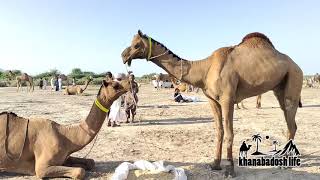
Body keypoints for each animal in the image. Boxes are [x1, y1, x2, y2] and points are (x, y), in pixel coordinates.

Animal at [0, 79, 130, 179]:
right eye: (115, 85)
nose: (129, 81)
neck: (65, 135)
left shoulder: (64, 157)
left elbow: (91, 162)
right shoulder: (42, 168)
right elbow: (80, 171)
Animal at [122, 30, 302, 176]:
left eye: (136, 45)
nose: (123, 55)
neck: (204, 69)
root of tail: (297, 66)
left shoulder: (227, 99)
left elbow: (229, 133)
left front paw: (230, 170)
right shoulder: (212, 101)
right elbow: (219, 131)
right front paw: (215, 164)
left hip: (293, 79)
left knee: (291, 123)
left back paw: (286, 163)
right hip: (279, 88)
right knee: (290, 122)